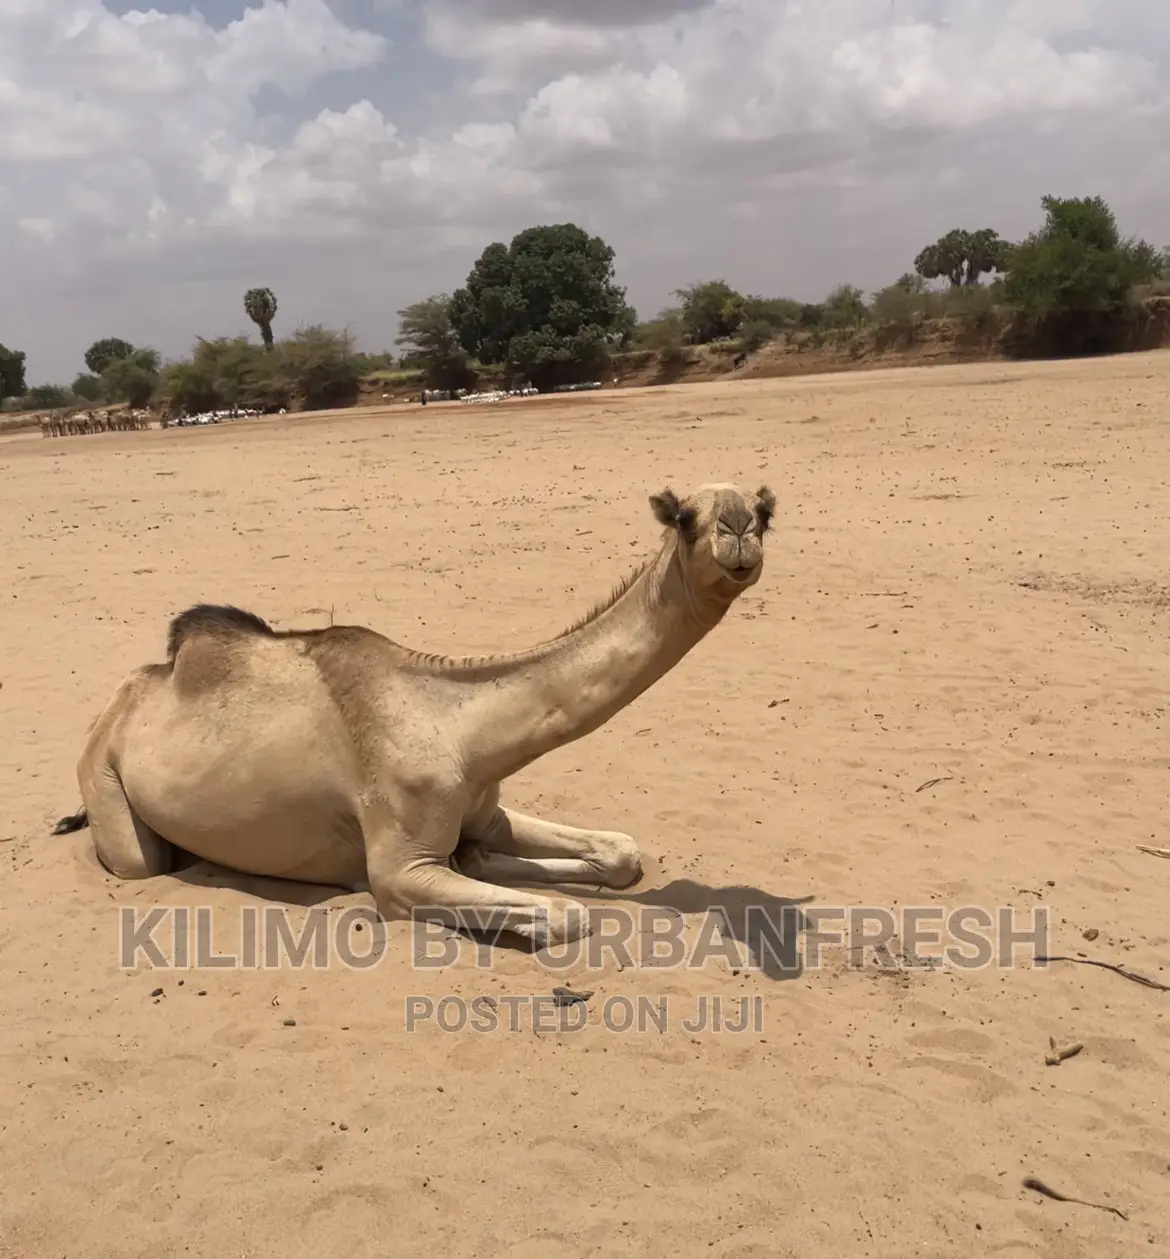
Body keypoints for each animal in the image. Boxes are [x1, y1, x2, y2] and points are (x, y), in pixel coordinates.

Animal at [53, 481, 775, 948]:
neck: (458, 727)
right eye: (684, 517)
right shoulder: (400, 871)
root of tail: (118, 703)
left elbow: (619, 853)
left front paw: (492, 859)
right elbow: (565, 916)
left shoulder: (482, 809)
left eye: (766, 512)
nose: (739, 529)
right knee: (140, 859)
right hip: (104, 783)